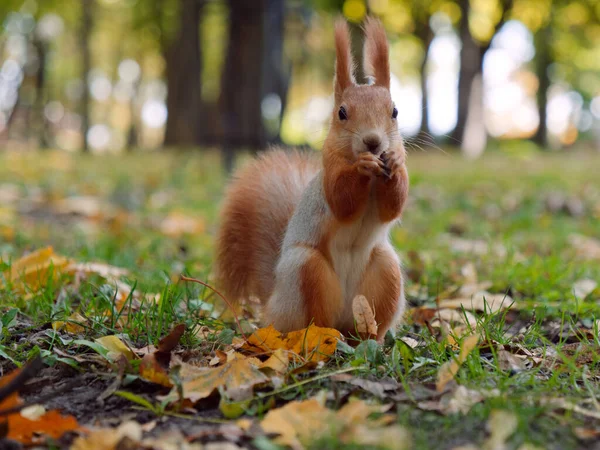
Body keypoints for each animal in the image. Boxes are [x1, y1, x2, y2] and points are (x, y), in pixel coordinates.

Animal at [214, 17, 408, 342]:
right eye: (341, 113)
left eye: (394, 111)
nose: (373, 142)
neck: (372, 183)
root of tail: (273, 305)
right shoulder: (329, 175)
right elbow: (342, 201)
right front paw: (361, 167)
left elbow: (392, 206)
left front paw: (394, 163)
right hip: (305, 270)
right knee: (314, 318)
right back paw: (321, 335)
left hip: (386, 271)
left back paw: (371, 339)